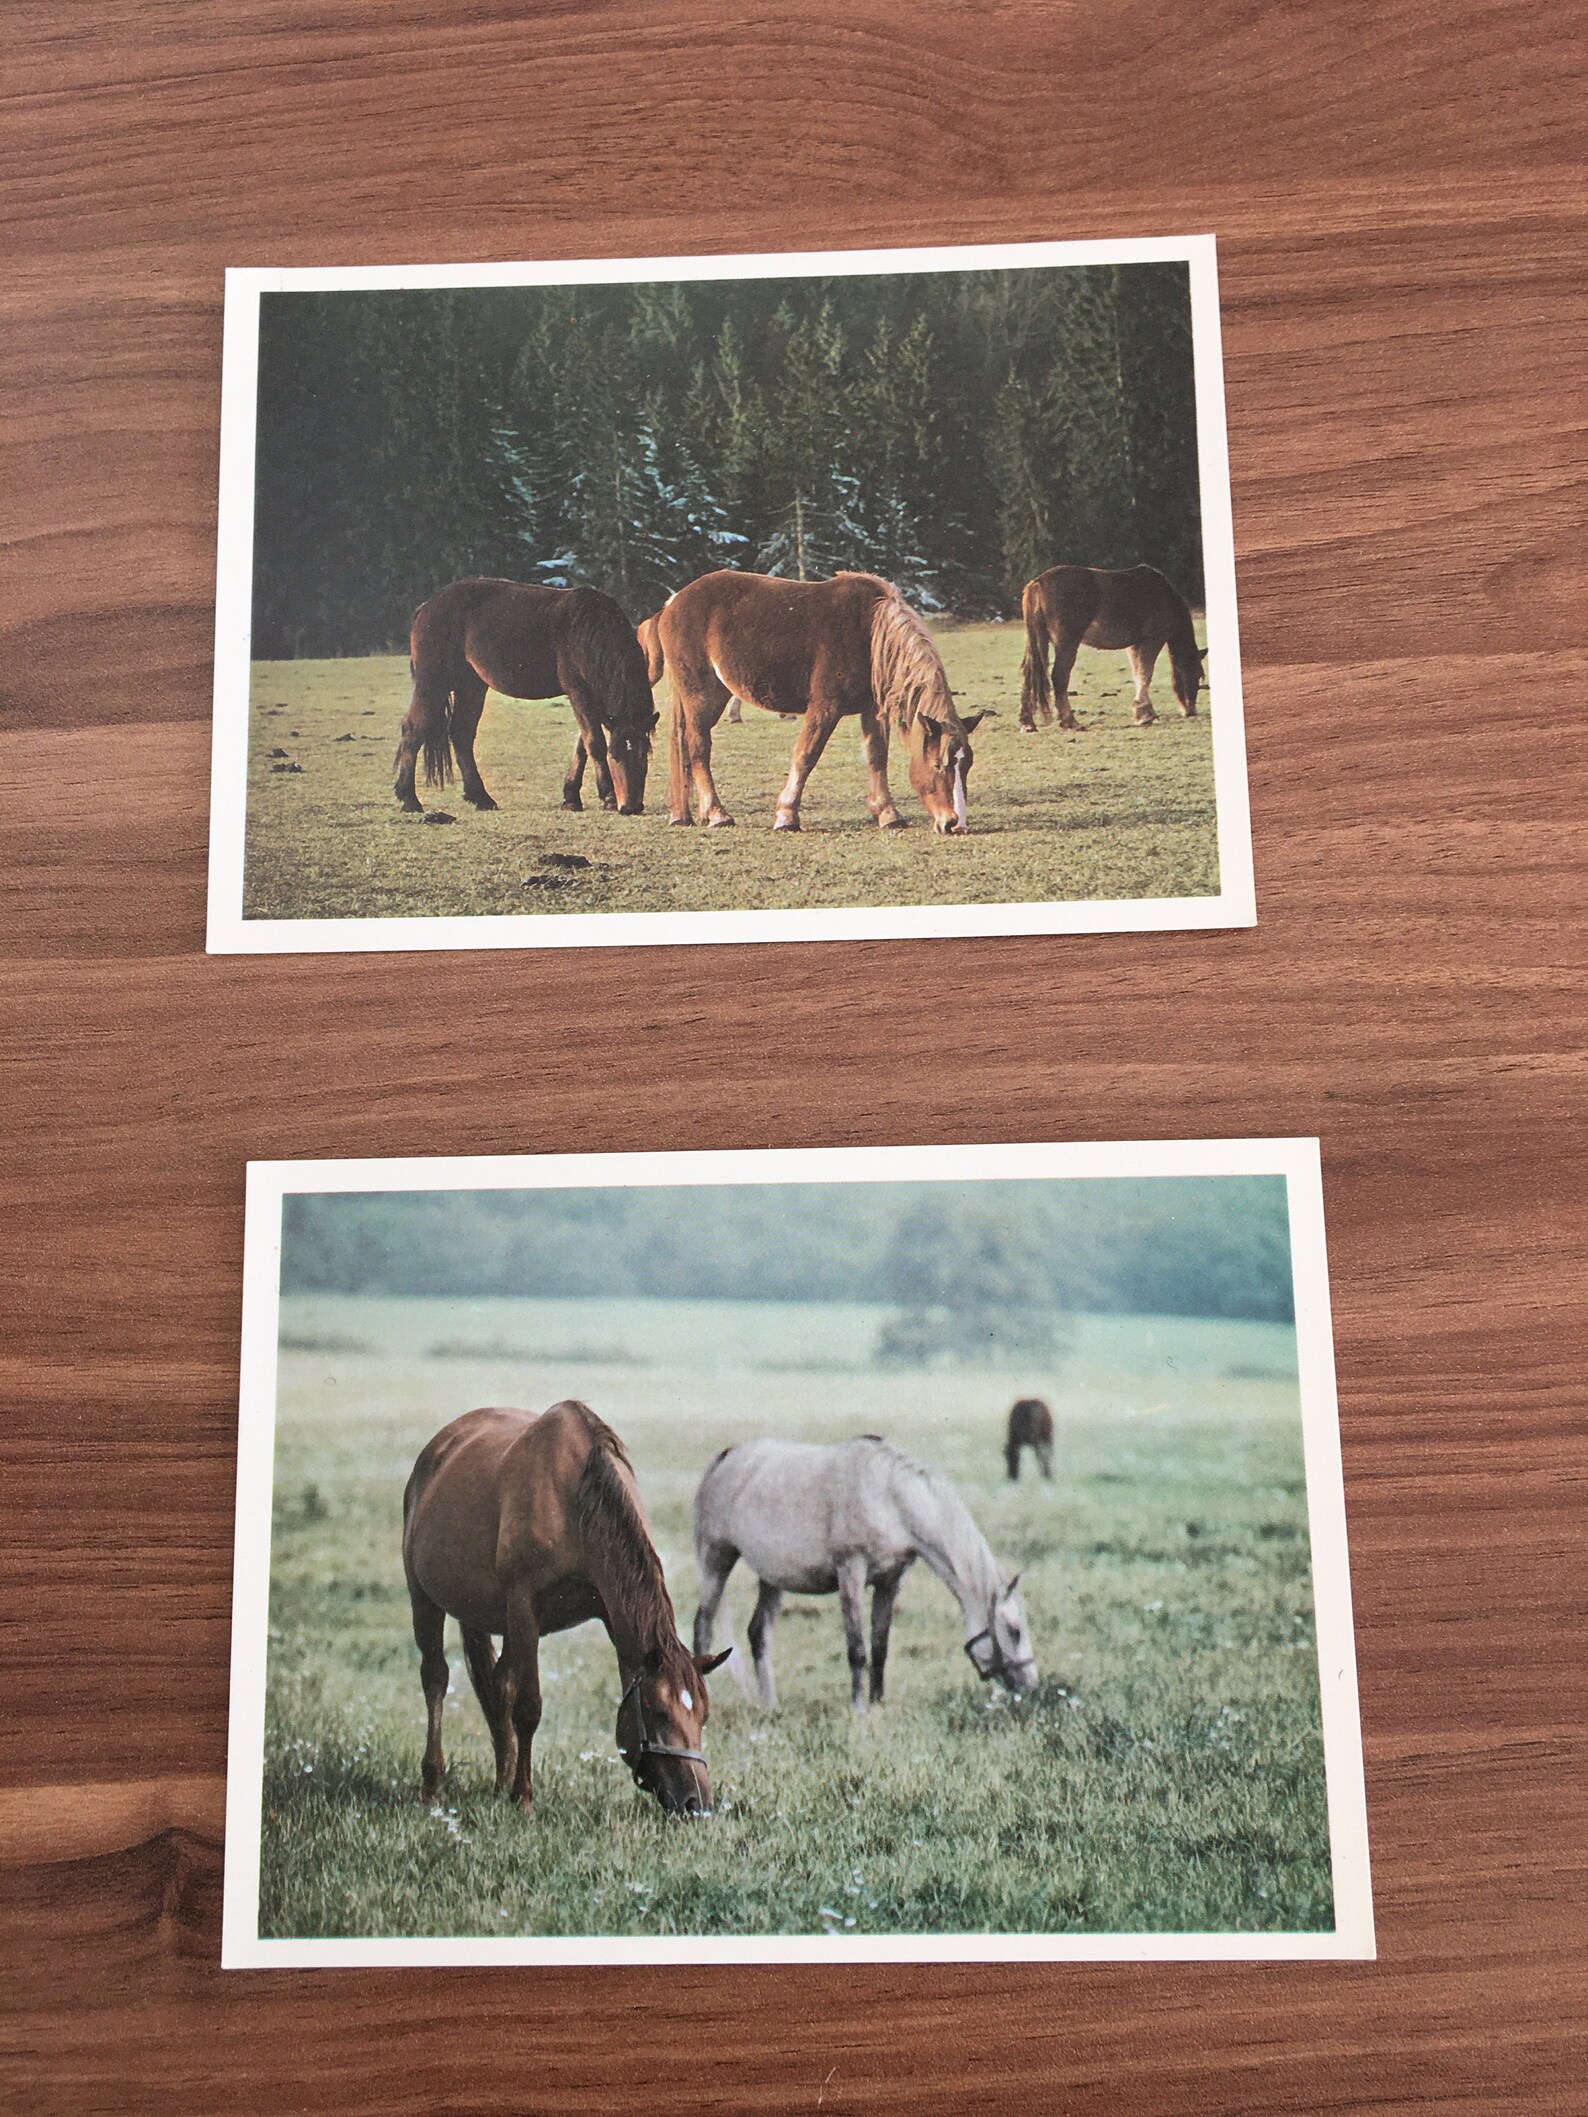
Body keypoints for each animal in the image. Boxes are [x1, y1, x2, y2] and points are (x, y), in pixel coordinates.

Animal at [393, 579, 658, 817]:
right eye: (616, 756)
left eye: (644, 756)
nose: (631, 807)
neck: (588, 628)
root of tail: (427, 606)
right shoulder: (579, 693)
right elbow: (594, 743)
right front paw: (608, 796)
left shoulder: (596, 700)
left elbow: (582, 745)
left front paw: (571, 796)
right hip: (434, 682)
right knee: (414, 729)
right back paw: (409, 799)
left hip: (471, 685)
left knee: (461, 734)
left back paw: (481, 797)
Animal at [402, 1399, 730, 1816]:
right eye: (658, 1710)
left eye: (703, 1715)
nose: (695, 1802)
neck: (574, 1503)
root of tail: (438, 1448)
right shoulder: (524, 1606)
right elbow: (529, 1708)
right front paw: (524, 1798)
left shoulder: (605, 1607)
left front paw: (511, 1790)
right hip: (425, 1599)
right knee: (435, 1678)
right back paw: (433, 1784)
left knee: (498, 1684)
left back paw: (500, 1782)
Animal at [658, 570, 984, 834]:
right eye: (939, 764)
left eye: (966, 765)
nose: (955, 824)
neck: (870, 632)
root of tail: (674, 602)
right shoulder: (825, 707)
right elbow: (806, 756)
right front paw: (787, 816)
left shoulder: (872, 709)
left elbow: (877, 756)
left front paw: (887, 813)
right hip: (701, 695)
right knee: (698, 747)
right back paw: (716, 813)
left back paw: (687, 814)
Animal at [692, 1435, 1036, 1713]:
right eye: (1014, 1630)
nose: (1031, 1685)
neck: (889, 1498)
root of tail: (726, 1456)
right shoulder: (851, 1572)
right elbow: (857, 1650)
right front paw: (858, 1711)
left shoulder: (890, 1581)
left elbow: (880, 1647)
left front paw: (877, 1705)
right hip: (717, 1561)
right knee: (703, 1627)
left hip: (773, 1578)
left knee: (759, 1633)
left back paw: (770, 1707)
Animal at [1019, 564, 1206, 731]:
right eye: (1195, 673)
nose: (1190, 711)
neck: (1165, 597)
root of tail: (1038, 583)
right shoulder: (1152, 640)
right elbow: (1145, 674)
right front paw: (1145, 715)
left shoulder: (1134, 645)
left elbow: (1138, 674)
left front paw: (1143, 712)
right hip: (1067, 644)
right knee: (1059, 677)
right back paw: (1070, 722)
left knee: (1029, 675)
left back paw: (1028, 723)